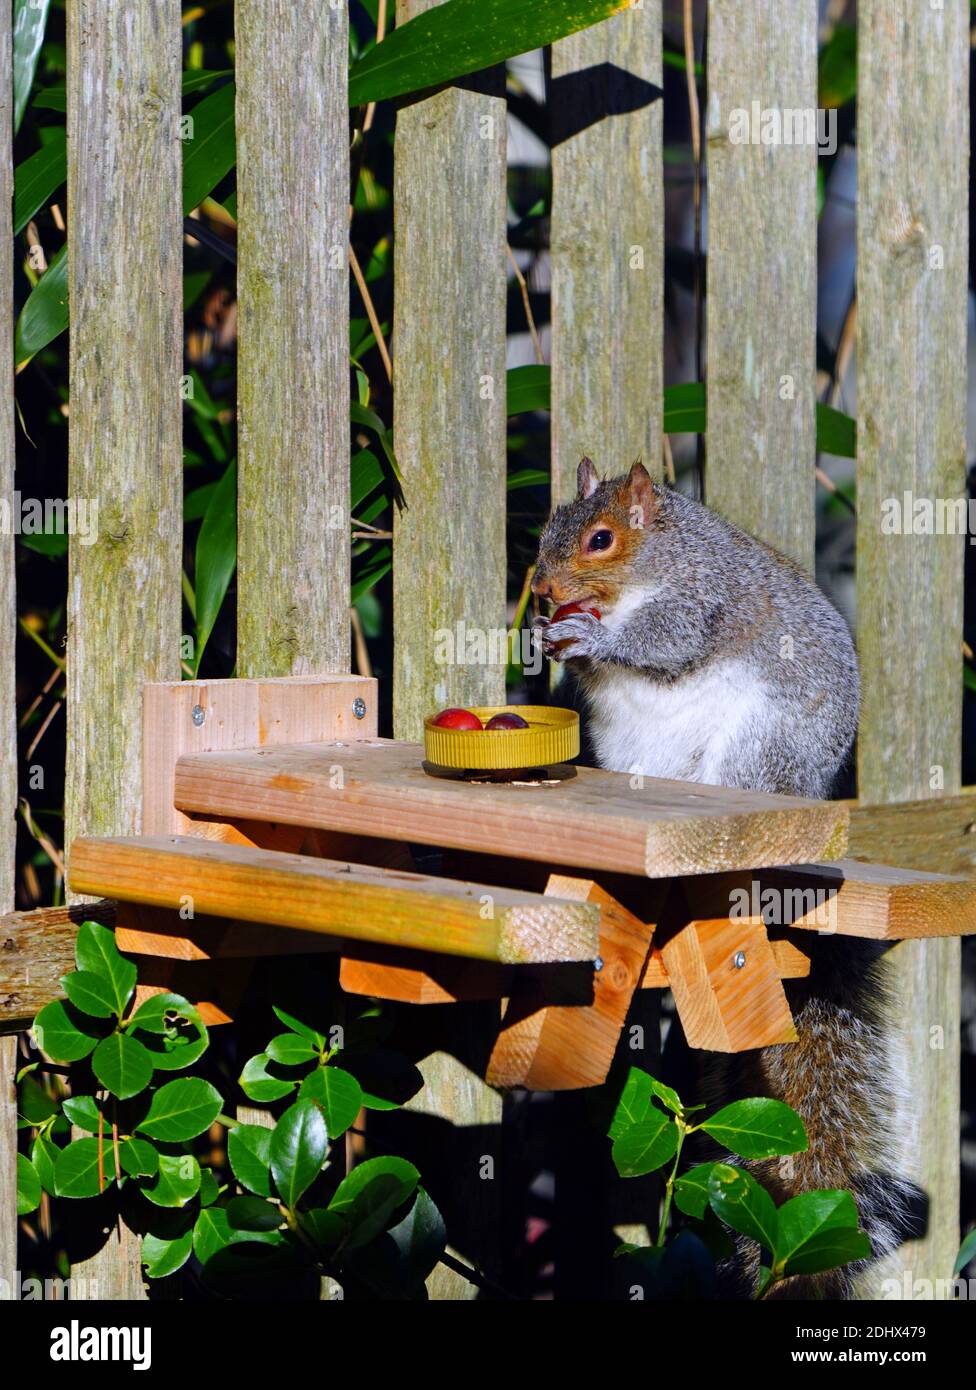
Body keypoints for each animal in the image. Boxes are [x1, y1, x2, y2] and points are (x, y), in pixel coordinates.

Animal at [532, 458, 913, 1298]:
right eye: (543, 531)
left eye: (601, 539)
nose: (540, 591)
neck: (660, 558)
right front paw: (553, 638)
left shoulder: (701, 598)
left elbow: (665, 640)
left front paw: (589, 634)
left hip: (755, 752)